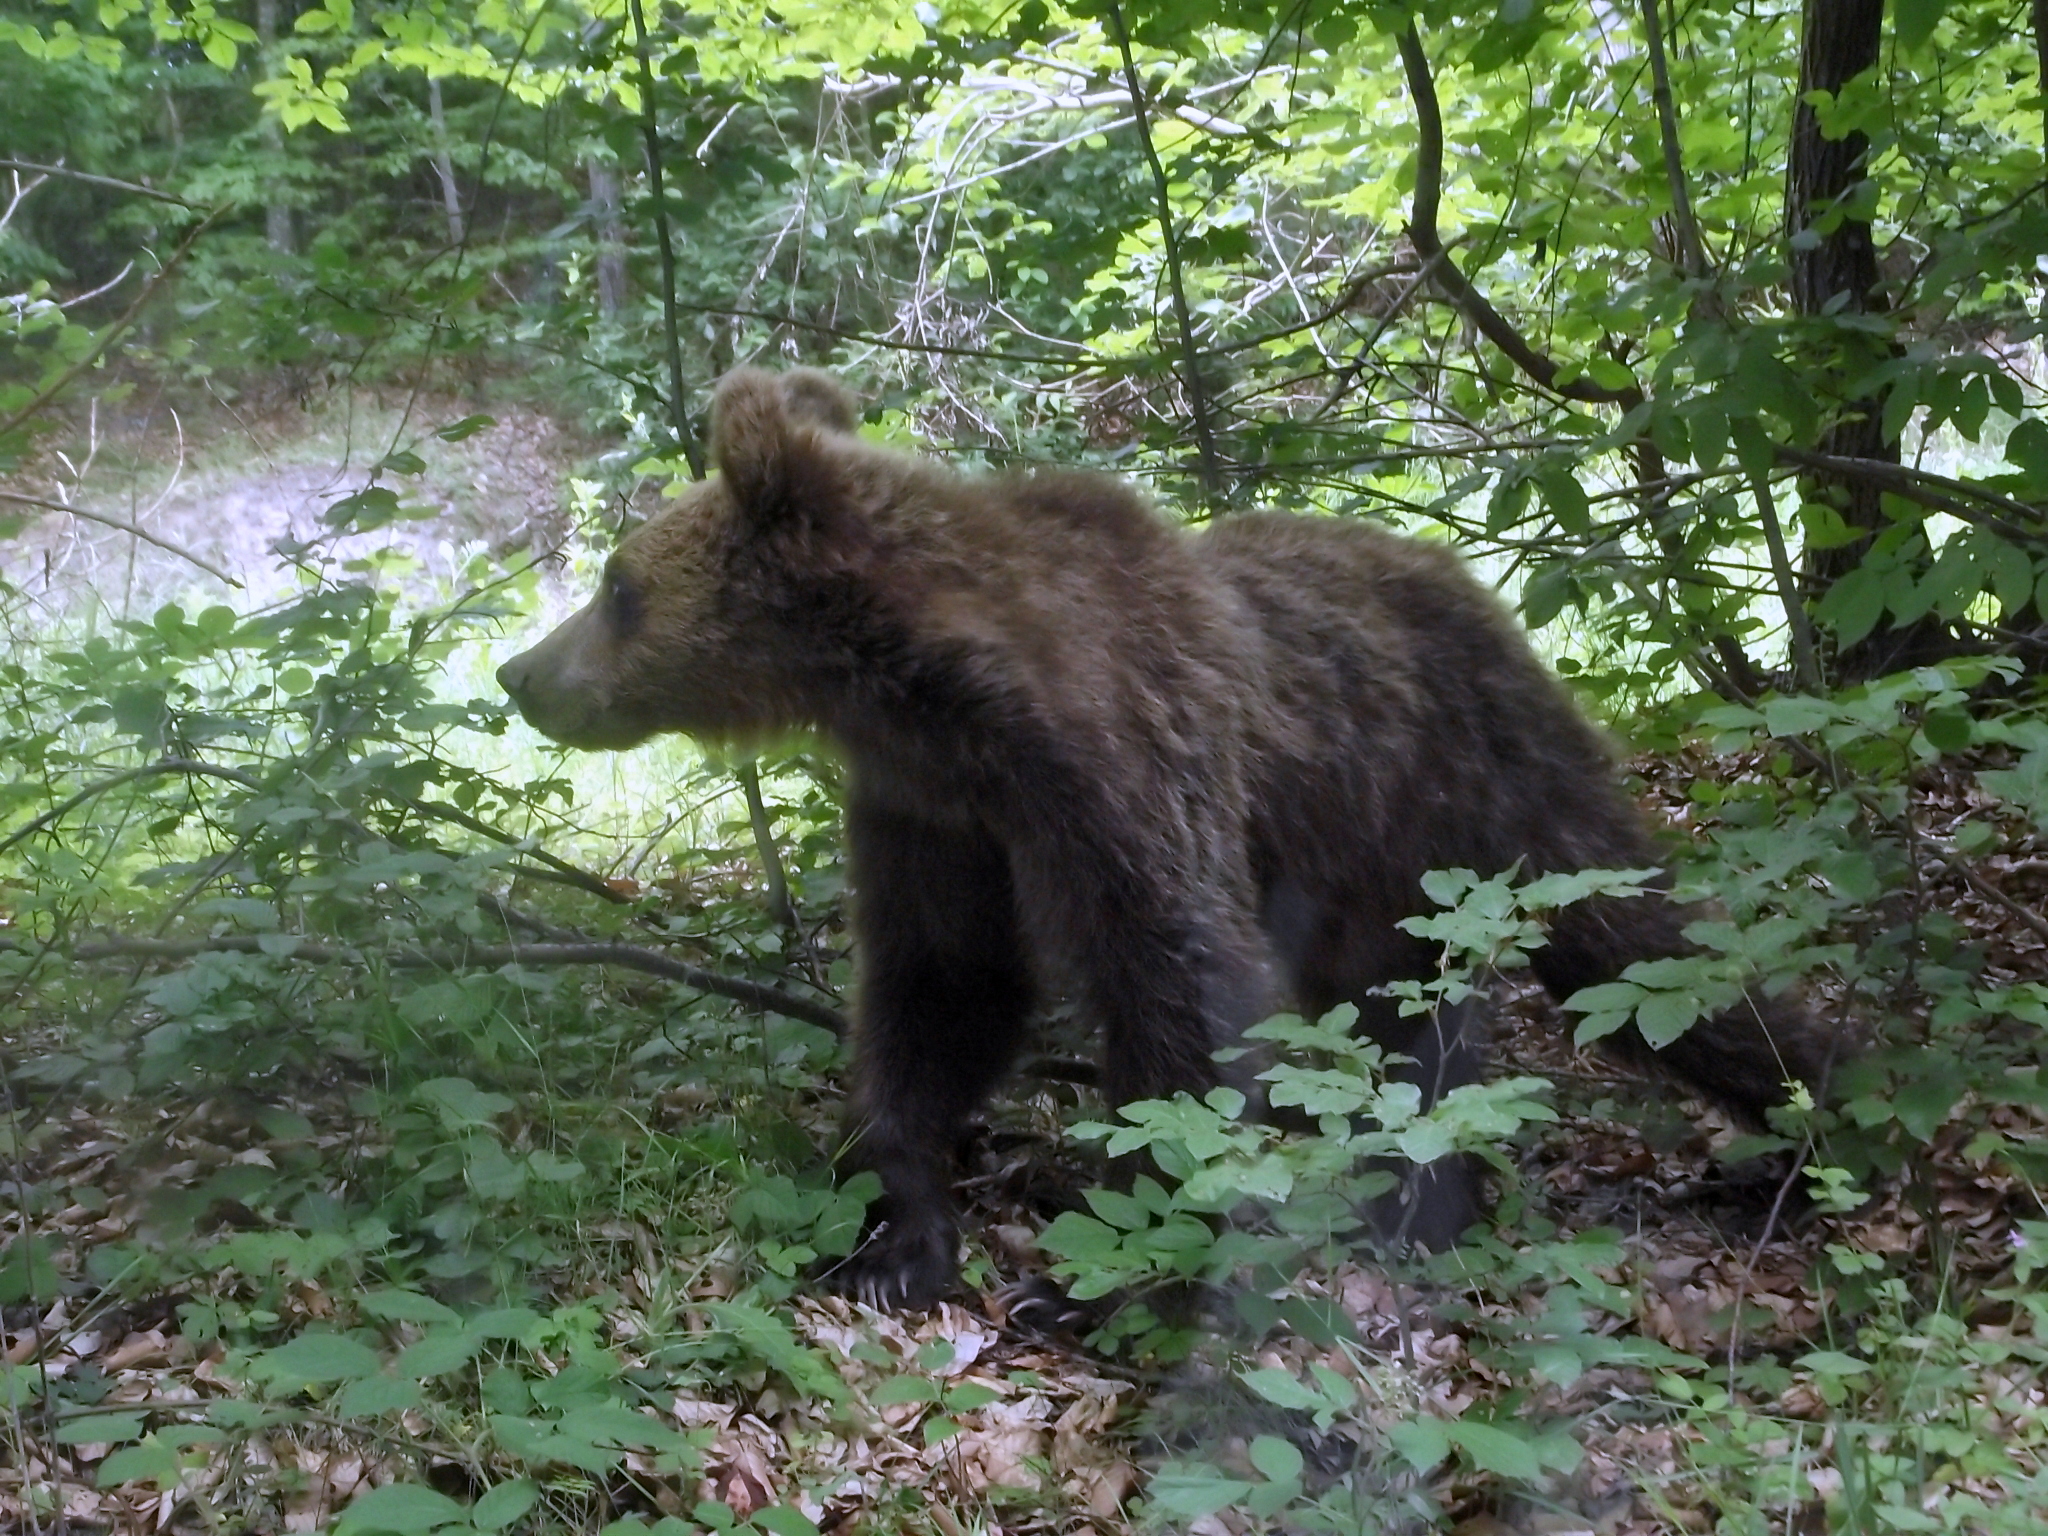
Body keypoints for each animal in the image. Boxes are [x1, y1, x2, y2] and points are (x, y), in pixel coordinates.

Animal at [499, 364, 1843, 1310]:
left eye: (616, 585)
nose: (520, 673)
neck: (937, 696)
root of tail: (1469, 580)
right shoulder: (931, 812)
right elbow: (942, 985)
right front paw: (897, 1228)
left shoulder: (1120, 769)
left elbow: (1176, 993)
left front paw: (1097, 1271)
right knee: (1407, 1014)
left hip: (1479, 782)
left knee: (1637, 946)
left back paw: (1804, 1115)